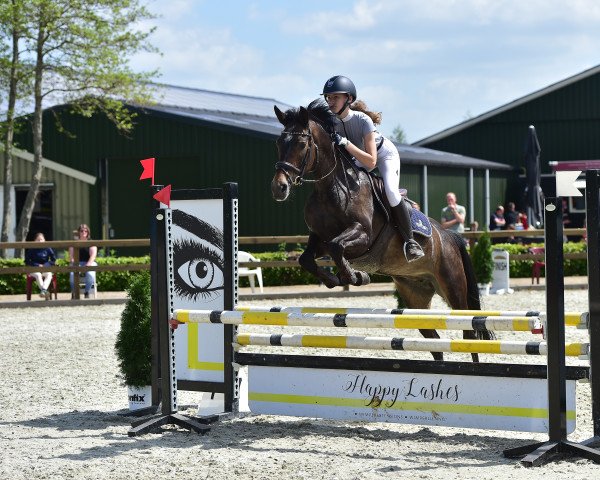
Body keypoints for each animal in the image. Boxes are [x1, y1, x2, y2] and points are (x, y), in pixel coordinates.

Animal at [270, 102, 492, 364]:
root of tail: (449, 236)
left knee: (470, 332)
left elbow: (337, 247)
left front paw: (355, 276)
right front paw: (336, 279)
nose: (279, 187)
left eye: (302, 144)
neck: (331, 187)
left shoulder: (363, 235)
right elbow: (307, 258)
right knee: (434, 340)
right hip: (414, 294)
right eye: (279, 142)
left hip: (454, 287)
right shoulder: (319, 238)